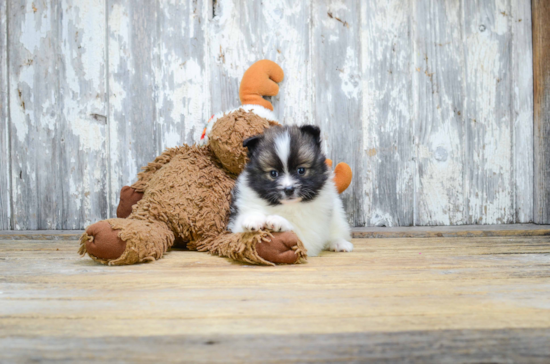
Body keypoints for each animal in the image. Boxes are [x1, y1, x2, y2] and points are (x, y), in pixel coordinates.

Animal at [227, 125, 354, 256]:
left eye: (301, 170)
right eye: (273, 173)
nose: (289, 189)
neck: (287, 205)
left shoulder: (311, 233)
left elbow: (296, 231)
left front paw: (278, 220)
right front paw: (253, 219)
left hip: (338, 217)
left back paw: (339, 243)